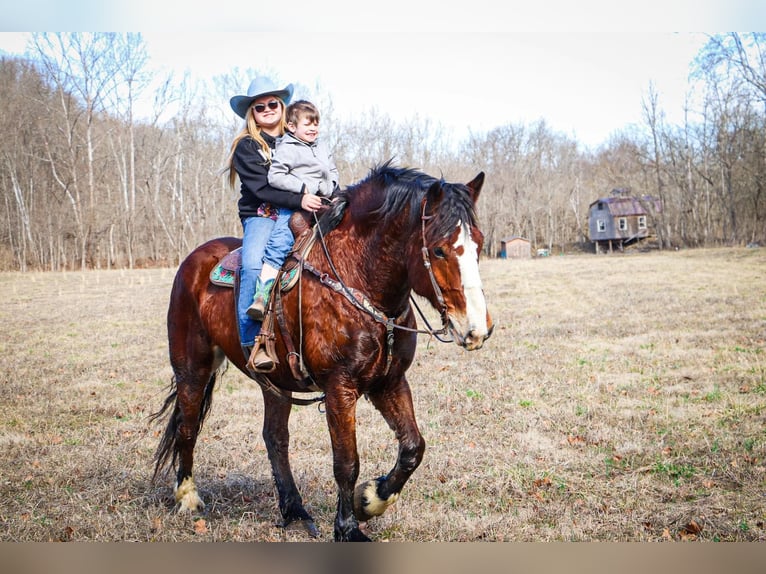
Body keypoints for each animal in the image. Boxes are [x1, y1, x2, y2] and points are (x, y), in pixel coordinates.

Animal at [153, 163, 496, 544]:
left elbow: (412, 448)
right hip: (192, 367)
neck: (357, 278)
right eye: (438, 250)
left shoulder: (390, 382)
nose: (477, 328)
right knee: (187, 427)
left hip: (274, 381)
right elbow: (346, 462)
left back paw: (295, 511)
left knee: (275, 438)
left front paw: (370, 500)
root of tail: (194, 260)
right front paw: (348, 528)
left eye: (479, 243)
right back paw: (188, 497)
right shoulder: (339, 388)